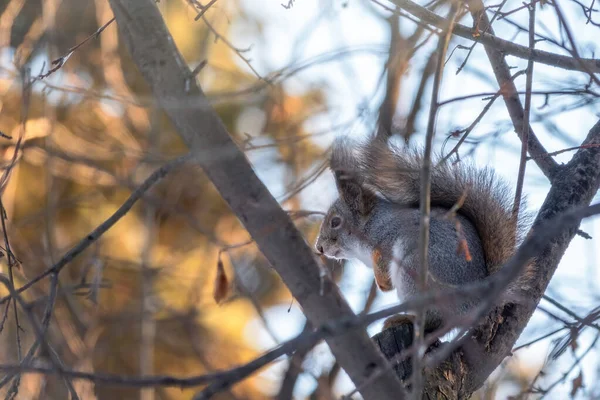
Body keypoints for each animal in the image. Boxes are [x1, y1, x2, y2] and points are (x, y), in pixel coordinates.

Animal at [314, 138, 524, 332]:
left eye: (335, 222)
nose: (319, 247)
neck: (370, 225)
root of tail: (477, 302)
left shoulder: (392, 235)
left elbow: (383, 260)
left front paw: (383, 283)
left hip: (417, 271)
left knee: (434, 320)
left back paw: (404, 319)